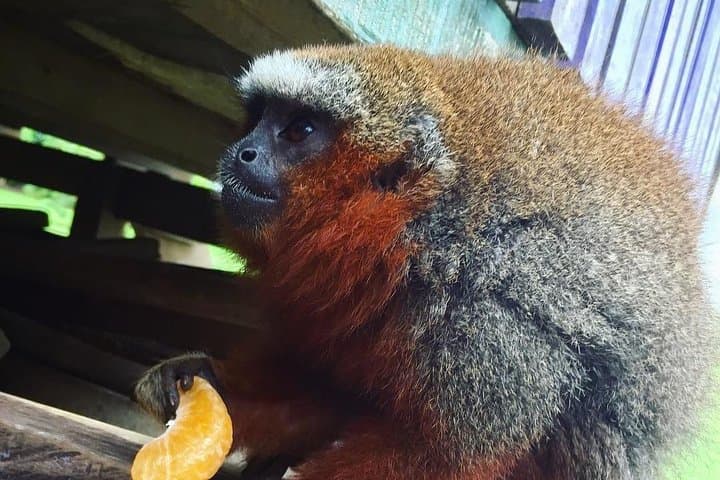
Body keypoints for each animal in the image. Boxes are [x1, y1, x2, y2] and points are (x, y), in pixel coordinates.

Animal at [135, 45, 719, 479]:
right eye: (258, 120)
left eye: (299, 130)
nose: (243, 152)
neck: (416, 239)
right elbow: (317, 390)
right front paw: (200, 379)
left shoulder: (492, 333)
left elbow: (444, 457)